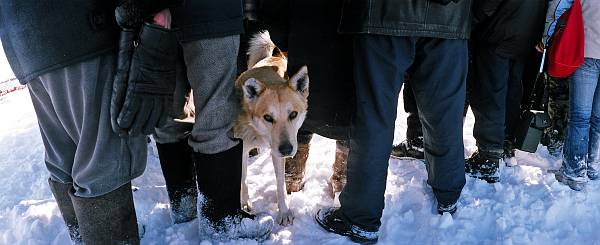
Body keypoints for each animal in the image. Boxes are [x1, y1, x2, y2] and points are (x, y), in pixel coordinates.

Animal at [234, 31, 310, 226]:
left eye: (293, 114)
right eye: (268, 117)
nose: (287, 150)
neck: (258, 132)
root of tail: (275, 55)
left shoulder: (277, 153)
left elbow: (280, 184)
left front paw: (283, 211)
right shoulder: (240, 150)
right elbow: (242, 179)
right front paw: (244, 203)